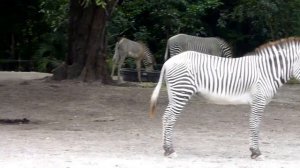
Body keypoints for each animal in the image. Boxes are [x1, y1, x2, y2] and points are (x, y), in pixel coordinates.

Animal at [150, 36, 300, 159]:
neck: (267, 71)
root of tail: (168, 62)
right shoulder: (259, 101)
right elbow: (255, 125)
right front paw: (256, 152)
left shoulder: (257, 102)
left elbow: (253, 125)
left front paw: (253, 151)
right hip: (181, 92)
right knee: (170, 118)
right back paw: (170, 150)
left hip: (174, 94)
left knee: (166, 117)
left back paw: (166, 149)